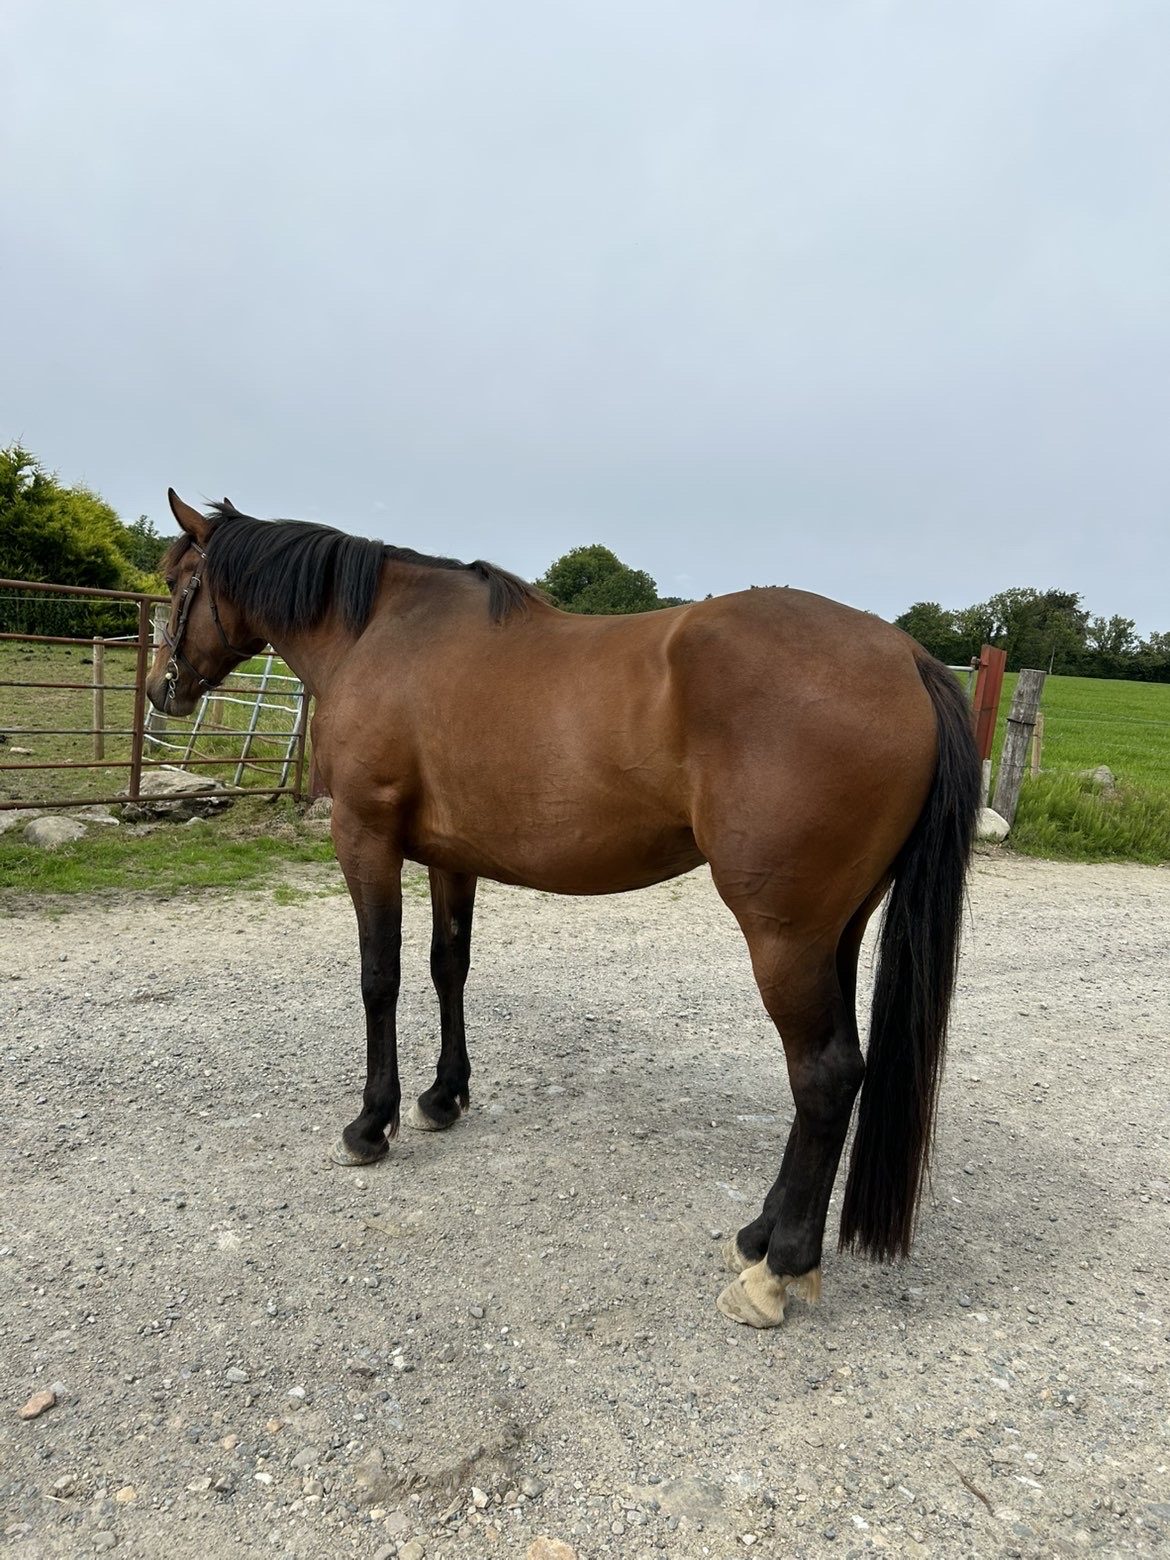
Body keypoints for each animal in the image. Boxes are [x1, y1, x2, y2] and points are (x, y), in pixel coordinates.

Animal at [149, 490, 980, 1329]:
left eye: (178, 580)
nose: (162, 690)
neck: (382, 632)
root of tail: (909, 660)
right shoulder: (451, 856)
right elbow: (448, 967)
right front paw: (443, 1097)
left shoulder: (365, 838)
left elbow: (379, 978)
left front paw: (370, 1124)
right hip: (836, 931)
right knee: (837, 1075)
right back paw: (758, 1236)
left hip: (784, 935)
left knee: (825, 1075)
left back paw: (778, 1270)